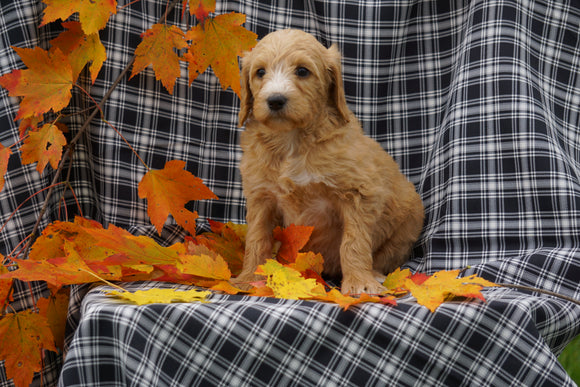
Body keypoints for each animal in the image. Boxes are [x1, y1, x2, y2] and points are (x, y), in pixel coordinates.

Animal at [233, 29, 424, 294]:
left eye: (303, 71)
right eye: (260, 72)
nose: (275, 100)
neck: (291, 141)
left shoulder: (358, 193)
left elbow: (354, 242)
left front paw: (359, 283)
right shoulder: (261, 196)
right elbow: (257, 238)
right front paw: (249, 278)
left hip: (409, 221)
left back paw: (374, 275)